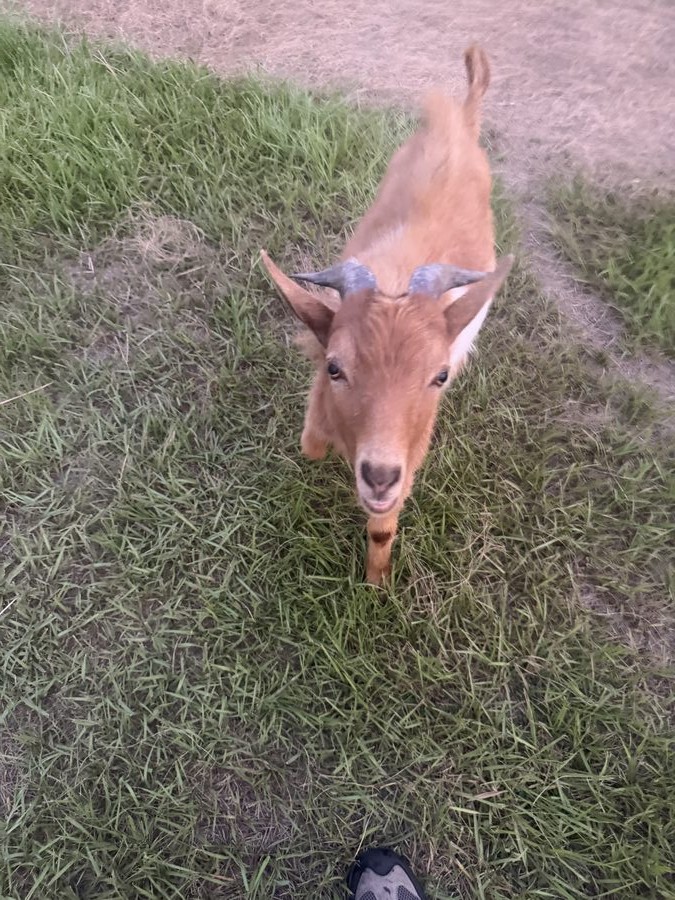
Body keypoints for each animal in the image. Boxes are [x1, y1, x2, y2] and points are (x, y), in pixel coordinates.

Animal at [261, 45, 513, 584]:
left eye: (440, 376)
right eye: (336, 367)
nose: (379, 476)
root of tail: (460, 121)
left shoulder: (412, 449)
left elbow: (382, 527)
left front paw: (376, 584)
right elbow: (310, 444)